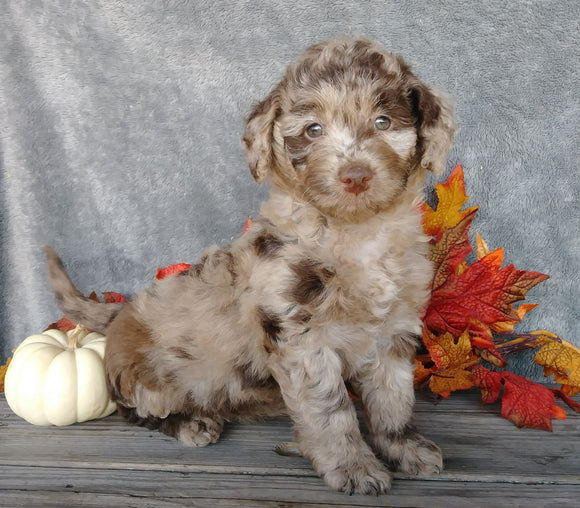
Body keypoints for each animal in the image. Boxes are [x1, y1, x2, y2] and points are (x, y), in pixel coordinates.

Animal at [45, 38, 456, 496]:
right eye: (313, 130)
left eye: (383, 122)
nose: (355, 175)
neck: (355, 233)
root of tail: (121, 311)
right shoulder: (301, 337)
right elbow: (331, 412)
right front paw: (353, 467)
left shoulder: (394, 332)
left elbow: (393, 399)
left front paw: (404, 447)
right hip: (146, 380)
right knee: (135, 410)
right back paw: (192, 424)